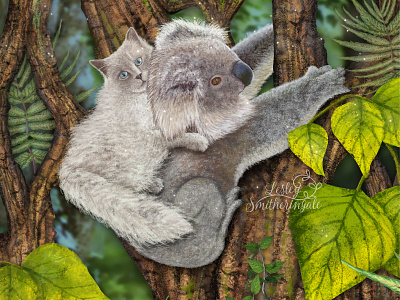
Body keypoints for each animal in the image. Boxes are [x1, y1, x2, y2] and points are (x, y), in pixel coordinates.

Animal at [59, 28, 209, 247]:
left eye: (138, 61)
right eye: (124, 75)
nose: (139, 76)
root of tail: (67, 169)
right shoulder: (151, 131)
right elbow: (177, 136)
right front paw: (198, 140)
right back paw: (154, 184)